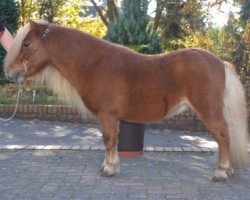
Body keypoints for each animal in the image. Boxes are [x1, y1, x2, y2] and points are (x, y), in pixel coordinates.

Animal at [3, 20, 248, 181]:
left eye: (26, 44)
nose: (11, 74)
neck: (95, 63)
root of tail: (220, 63)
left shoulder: (108, 115)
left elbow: (109, 140)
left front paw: (110, 169)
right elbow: (110, 141)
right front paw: (108, 166)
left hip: (208, 111)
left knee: (223, 136)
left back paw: (221, 172)